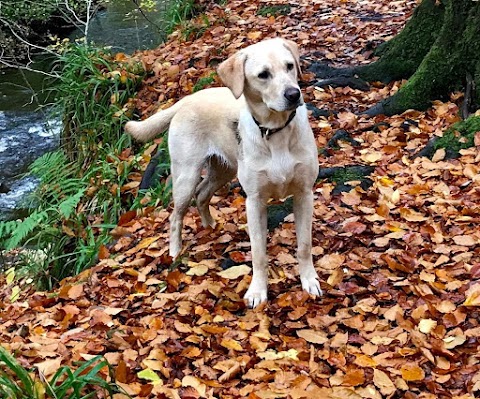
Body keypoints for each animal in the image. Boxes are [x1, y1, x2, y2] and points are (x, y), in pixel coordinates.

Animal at [125, 37, 320, 308]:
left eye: (290, 66)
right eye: (263, 75)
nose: (294, 94)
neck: (275, 131)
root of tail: (186, 99)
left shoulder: (304, 194)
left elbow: (304, 245)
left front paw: (309, 281)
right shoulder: (254, 201)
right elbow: (258, 253)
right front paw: (257, 291)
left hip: (223, 170)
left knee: (202, 195)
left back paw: (211, 227)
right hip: (186, 175)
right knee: (176, 215)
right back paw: (175, 252)